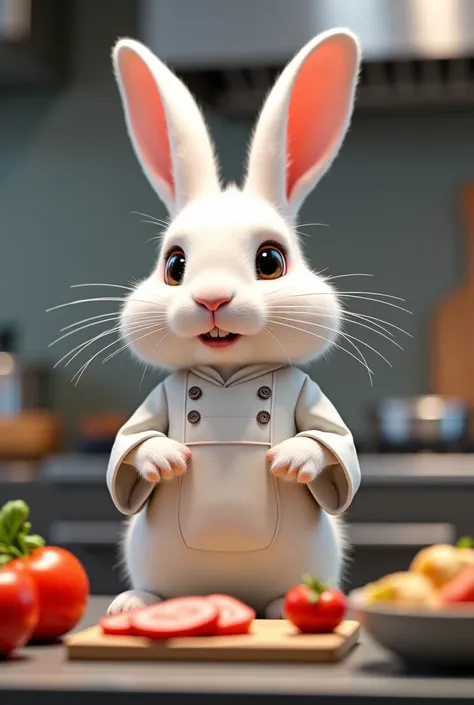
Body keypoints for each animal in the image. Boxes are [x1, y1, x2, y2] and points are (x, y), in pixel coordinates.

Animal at [107, 27, 362, 612]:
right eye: (175, 266)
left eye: (271, 261)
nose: (212, 299)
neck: (227, 377)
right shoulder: (159, 398)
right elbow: (132, 442)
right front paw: (162, 460)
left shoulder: (307, 393)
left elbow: (332, 441)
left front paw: (294, 460)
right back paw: (136, 603)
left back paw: (282, 607)